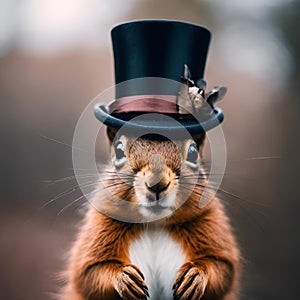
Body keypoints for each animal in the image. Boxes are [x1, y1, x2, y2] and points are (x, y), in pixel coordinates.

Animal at [59, 127, 240, 300]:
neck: (154, 223)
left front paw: (196, 276)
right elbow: (89, 274)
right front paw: (124, 278)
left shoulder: (209, 225)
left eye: (193, 152)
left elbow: (223, 269)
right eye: (118, 150)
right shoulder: (100, 228)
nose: (157, 184)